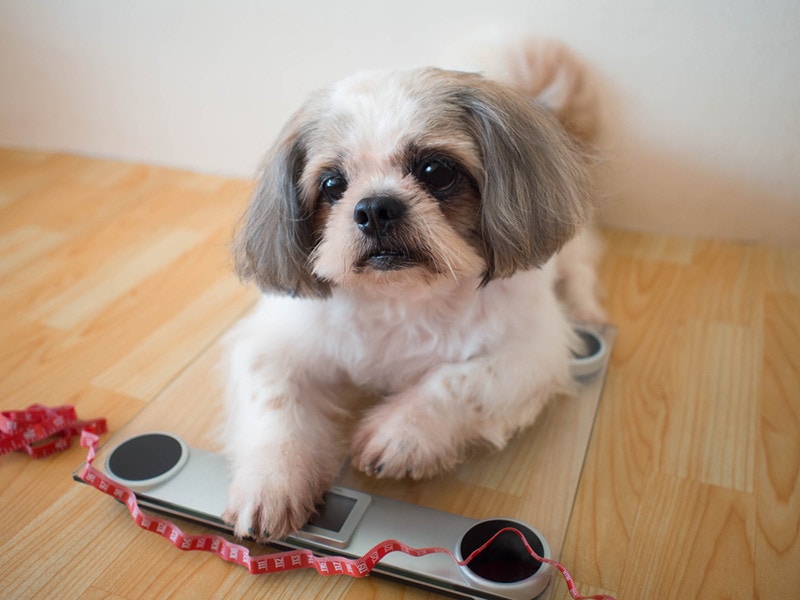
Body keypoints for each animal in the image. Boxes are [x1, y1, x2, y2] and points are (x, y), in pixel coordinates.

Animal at [222, 39, 604, 540]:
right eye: (332, 184)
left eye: (435, 170)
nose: (375, 208)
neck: (399, 298)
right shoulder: (270, 346)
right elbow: (274, 402)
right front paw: (272, 480)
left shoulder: (531, 355)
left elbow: (457, 381)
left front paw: (401, 433)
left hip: (573, 254)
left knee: (580, 272)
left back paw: (588, 310)